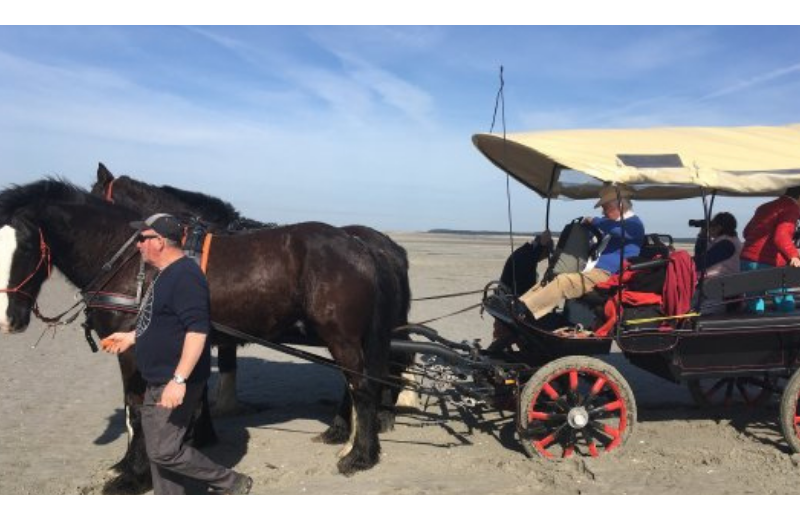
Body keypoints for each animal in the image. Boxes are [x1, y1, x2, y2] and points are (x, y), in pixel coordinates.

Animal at [0, 178, 396, 488]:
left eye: (26, 244)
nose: (8, 320)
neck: (130, 262)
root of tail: (358, 243)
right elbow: (149, 404)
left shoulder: (135, 350)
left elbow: (137, 408)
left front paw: (133, 476)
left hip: (342, 337)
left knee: (362, 387)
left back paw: (358, 456)